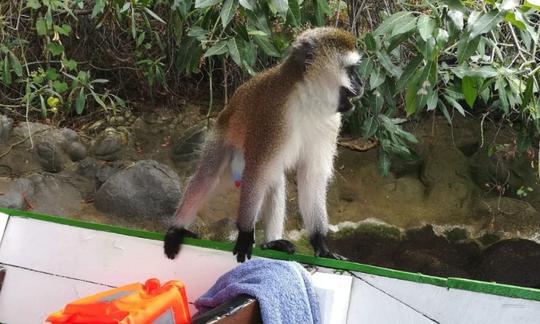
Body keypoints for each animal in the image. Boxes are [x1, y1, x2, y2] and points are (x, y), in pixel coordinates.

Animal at [165, 26, 362, 262]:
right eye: (351, 70)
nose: (362, 83)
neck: (309, 100)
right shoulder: (273, 117)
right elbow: (257, 172)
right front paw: (245, 234)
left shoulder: (331, 122)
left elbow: (311, 176)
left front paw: (320, 243)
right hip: (223, 141)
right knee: (207, 178)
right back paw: (177, 228)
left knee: (273, 181)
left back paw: (271, 243)